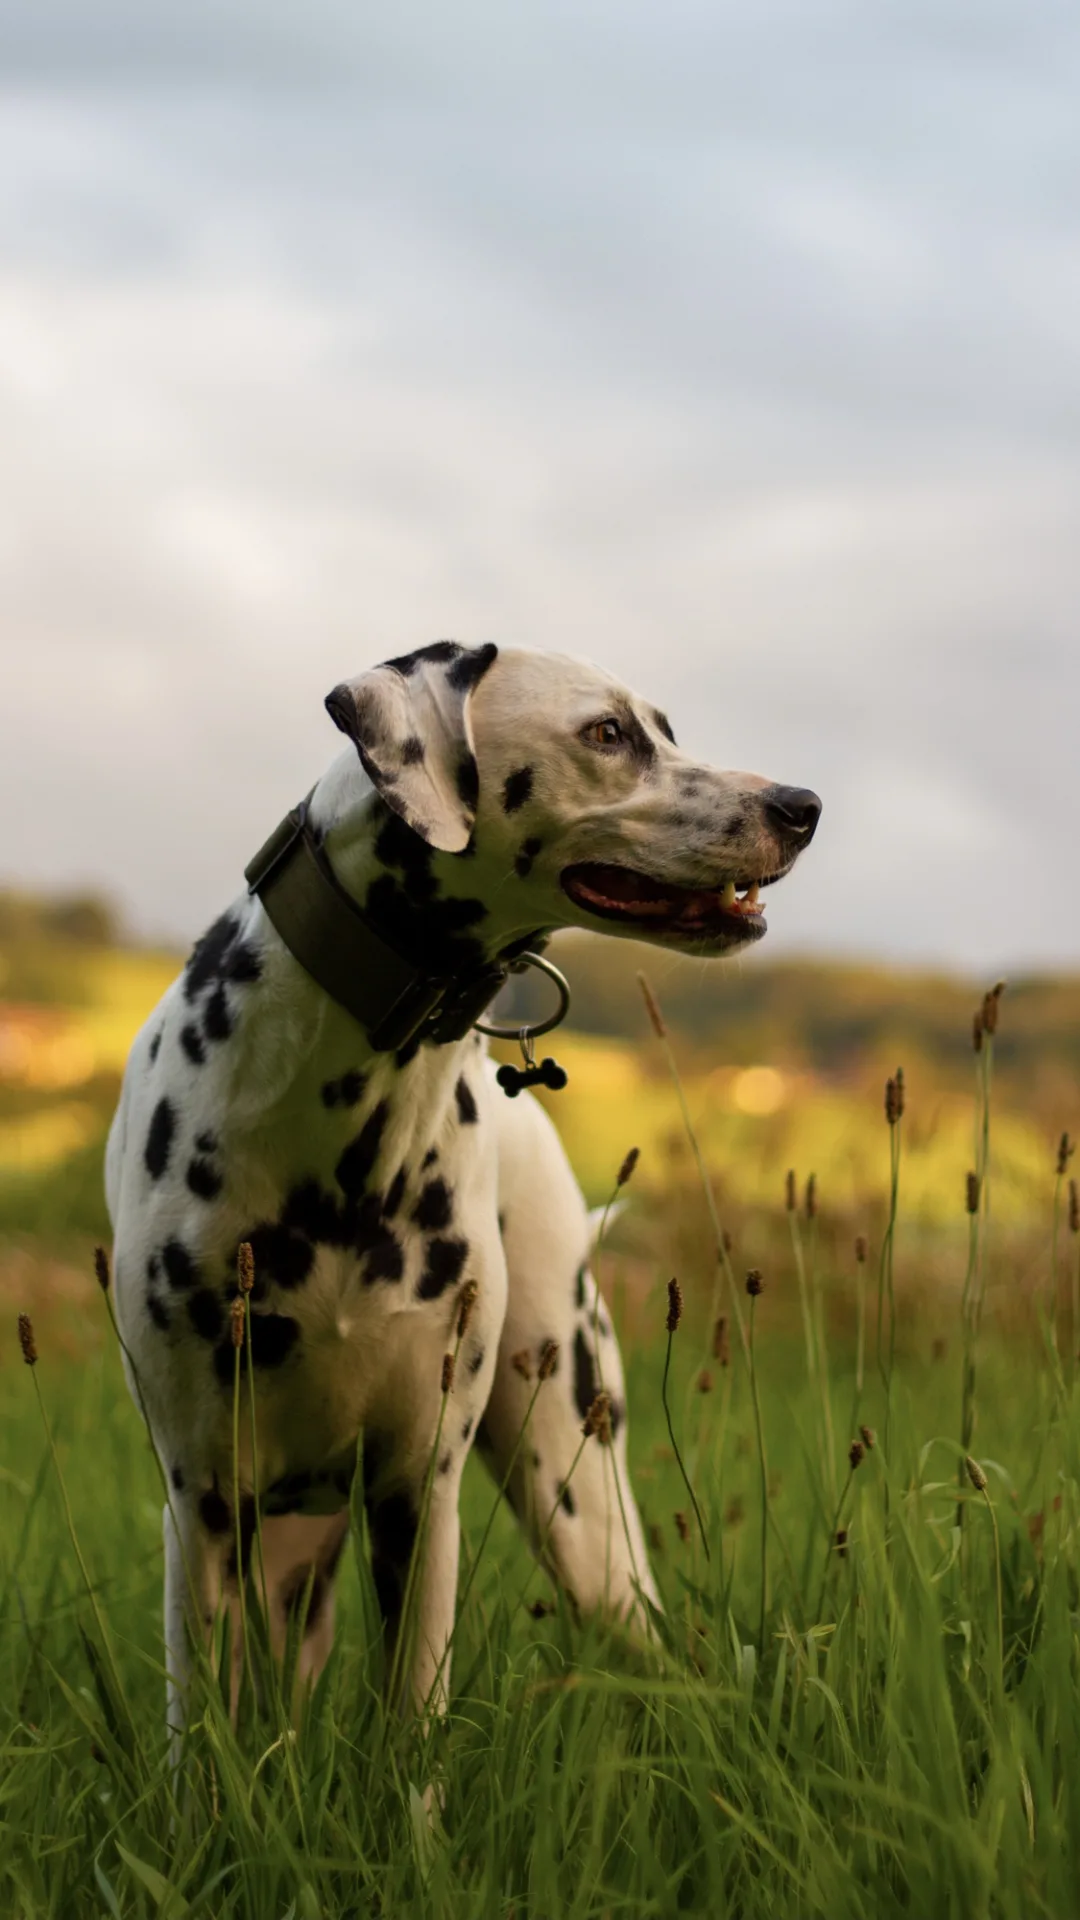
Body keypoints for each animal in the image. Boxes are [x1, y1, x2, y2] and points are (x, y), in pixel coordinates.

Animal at [107, 645, 814, 1743]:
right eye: (608, 733)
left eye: (665, 726)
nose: (801, 805)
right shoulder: (205, 1502)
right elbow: (207, 1745)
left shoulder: (417, 1492)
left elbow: (411, 1727)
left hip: (579, 1501)